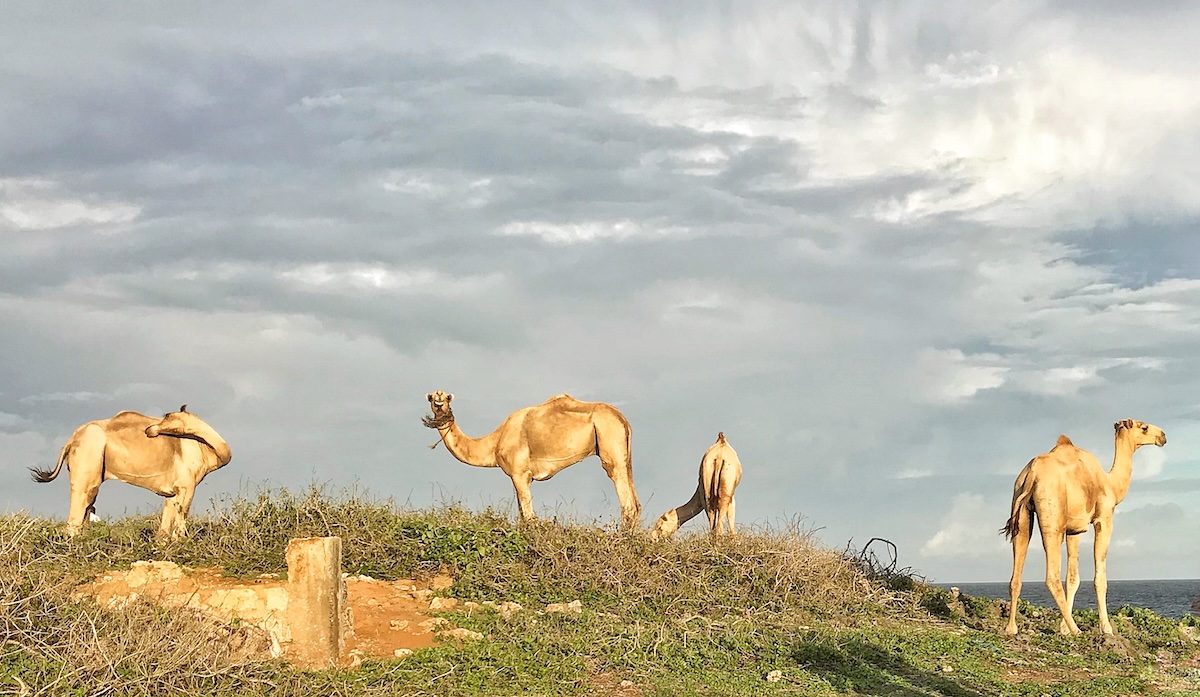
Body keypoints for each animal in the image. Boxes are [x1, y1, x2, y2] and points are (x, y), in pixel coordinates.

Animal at [31, 405, 232, 539]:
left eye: (167, 415)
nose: (149, 430)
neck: (206, 450)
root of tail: (71, 438)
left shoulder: (174, 491)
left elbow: (166, 525)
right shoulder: (187, 485)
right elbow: (181, 518)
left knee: (87, 508)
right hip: (88, 460)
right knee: (79, 507)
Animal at [422, 391, 642, 529]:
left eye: (447, 397)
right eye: (432, 398)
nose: (439, 400)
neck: (495, 442)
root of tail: (622, 419)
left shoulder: (520, 473)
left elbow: (528, 517)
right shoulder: (518, 476)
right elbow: (522, 516)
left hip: (609, 439)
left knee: (627, 502)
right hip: (626, 456)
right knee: (636, 503)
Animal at [1001, 419, 1166, 636]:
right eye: (1144, 427)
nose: (1163, 436)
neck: (1111, 484)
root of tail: (1032, 474)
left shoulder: (1074, 530)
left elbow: (1073, 578)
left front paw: (1063, 628)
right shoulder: (1104, 519)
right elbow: (1100, 578)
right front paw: (1106, 628)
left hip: (1020, 511)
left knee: (1016, 574)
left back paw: (1011, 628)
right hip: (1052, 517)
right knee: (1051, 576)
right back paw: (1076, 629)